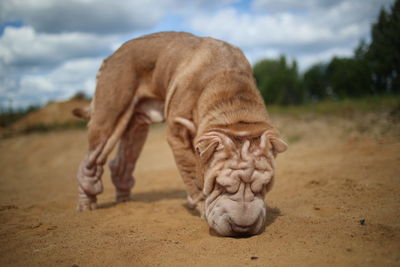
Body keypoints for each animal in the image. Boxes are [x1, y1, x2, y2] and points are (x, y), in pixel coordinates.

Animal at [74, 31, 288, 237]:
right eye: (219, 186)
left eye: (265, 185)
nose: (242, 228)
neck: (234, 108)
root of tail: (112, 56)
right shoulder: (178, 133)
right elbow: (192, 172)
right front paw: (201, 205)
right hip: (110, 114)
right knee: (91, 162)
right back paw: (87, 204)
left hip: (135, 126)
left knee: (122, 161)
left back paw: (125, 200)